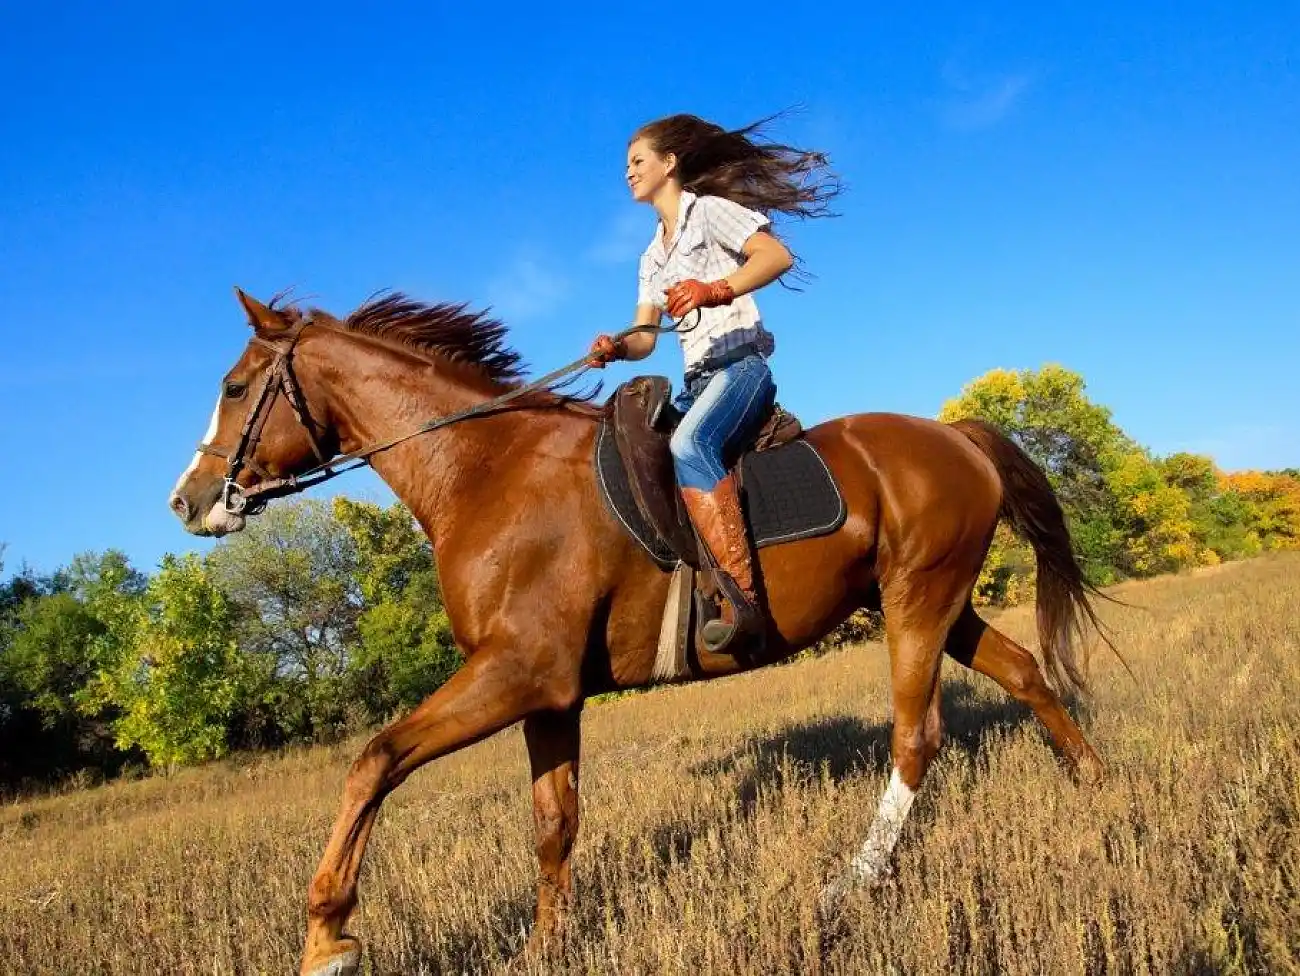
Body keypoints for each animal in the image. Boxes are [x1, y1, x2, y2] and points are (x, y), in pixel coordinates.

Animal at [168, 288, 1110, 976]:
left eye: (235, 388)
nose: (187, 501)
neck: (486, 472)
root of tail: (955, 435)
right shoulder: (550, 696)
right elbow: (553, 823)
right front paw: (546, 949)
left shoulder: (516, 673)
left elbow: (374, 761)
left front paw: (327, 937)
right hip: (936, 602)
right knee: (1026, 672)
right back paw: (1097, 785)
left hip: (917, 605)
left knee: (918, 736)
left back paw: (849, 885)